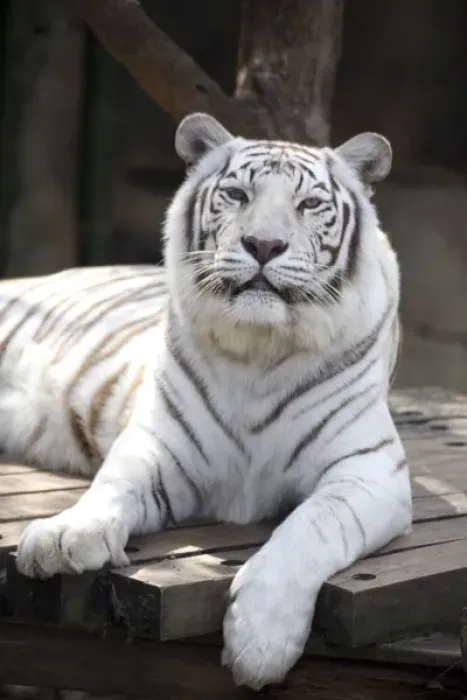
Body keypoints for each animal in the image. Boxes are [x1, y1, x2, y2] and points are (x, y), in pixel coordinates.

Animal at [1, 113, 411, 690]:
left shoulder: (369, 472)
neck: (261, 351)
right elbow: (112, 487)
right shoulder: (160, 446)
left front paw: (261, 640)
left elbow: (311, 526)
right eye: (237, 194)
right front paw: (63, 537)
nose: (264, 244)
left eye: (309, 204)